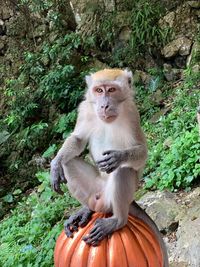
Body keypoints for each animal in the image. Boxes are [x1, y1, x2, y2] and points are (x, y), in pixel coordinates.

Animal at [51, 69, 169, 267]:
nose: (104, 105)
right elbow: (77, 140)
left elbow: (141, 153)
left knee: (122, 171)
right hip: (95, 190)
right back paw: (87, 209)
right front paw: (55, 163)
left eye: (112, 90)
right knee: (69, 162)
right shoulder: (85, 109)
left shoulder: (131, 112)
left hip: (115, 198)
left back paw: (117, 221)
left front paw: (119, 157)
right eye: (99, 90)